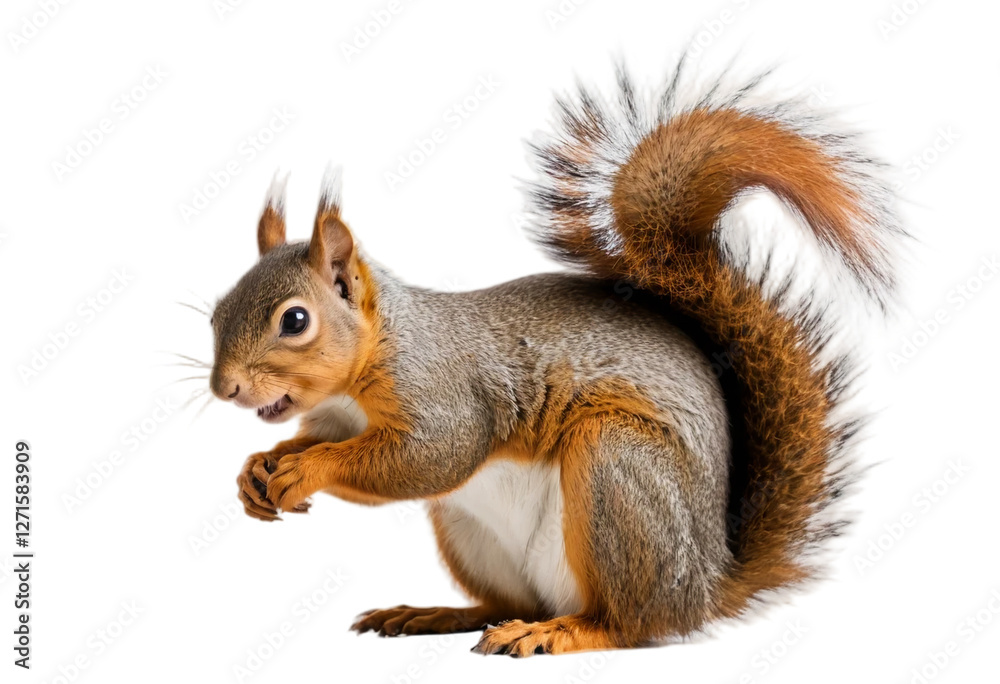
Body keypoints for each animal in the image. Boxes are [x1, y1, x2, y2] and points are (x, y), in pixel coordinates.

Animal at [208, 60, 901, 656]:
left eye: (295, 321)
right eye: (216, 312)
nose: (225, 390)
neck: (367, 370)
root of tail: (705, 585)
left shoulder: (445, 393)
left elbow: (430, 457)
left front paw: (309, 470)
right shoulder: (334, 417)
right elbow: (307, 439)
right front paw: (258, 468)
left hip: (616, 468)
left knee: (629, 623)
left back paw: (560, 632)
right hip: (473, 534)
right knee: (508, 603)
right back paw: (437, 614)